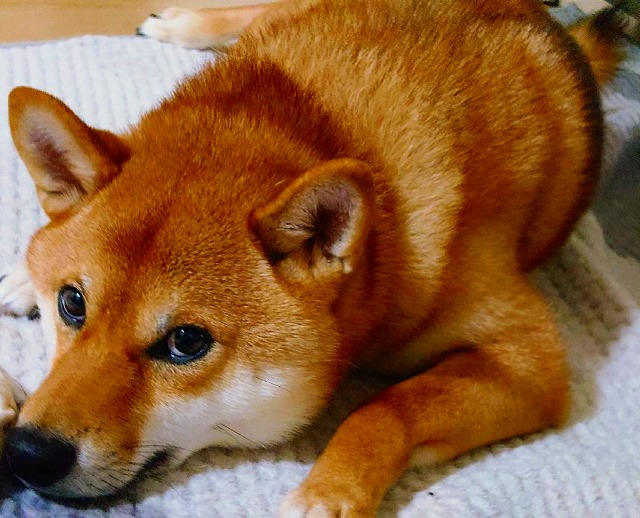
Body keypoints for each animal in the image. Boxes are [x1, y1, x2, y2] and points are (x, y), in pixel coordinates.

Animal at [0, 1, 632, 516]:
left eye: (186, 343)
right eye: (73, 303)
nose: (27, 453)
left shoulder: (531, 360)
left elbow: (387, 406)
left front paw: (331, 490)